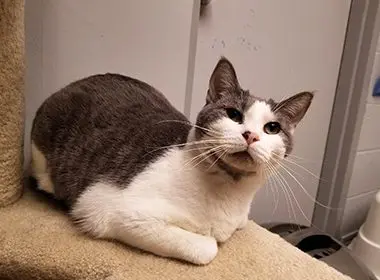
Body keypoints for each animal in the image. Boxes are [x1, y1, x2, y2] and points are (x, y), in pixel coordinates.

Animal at [31, 57, 314, 264]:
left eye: (272, 128)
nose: (251, 136)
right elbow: (208, 248)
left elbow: (238, 225)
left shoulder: (241, 218)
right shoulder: (108, 209)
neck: (229, 194)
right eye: (233, 114)